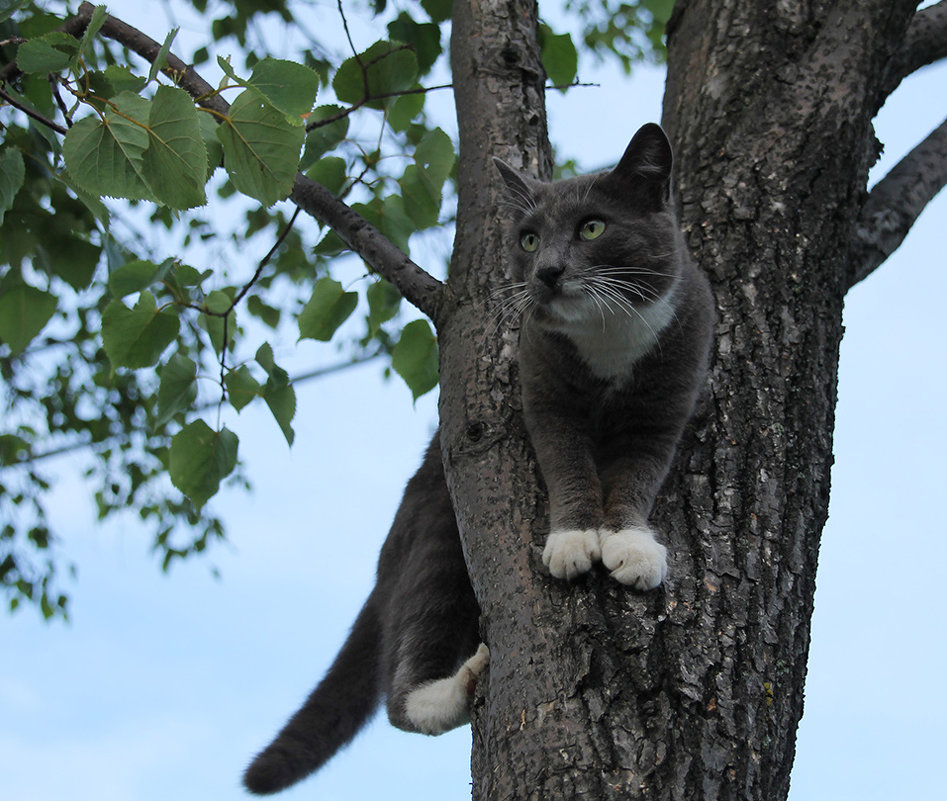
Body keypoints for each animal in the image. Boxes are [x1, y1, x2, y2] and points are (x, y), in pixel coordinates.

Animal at [241, 123, 716, 792]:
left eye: (593, 227)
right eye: (529, 238)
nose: (546, 271)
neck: (607, 337)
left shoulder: (671, 389)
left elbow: (638, 474)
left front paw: (631, 545)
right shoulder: (543, 388)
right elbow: (566, 464)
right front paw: (573, 541)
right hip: (439, 530)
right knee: (404, 674)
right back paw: (457, 685)